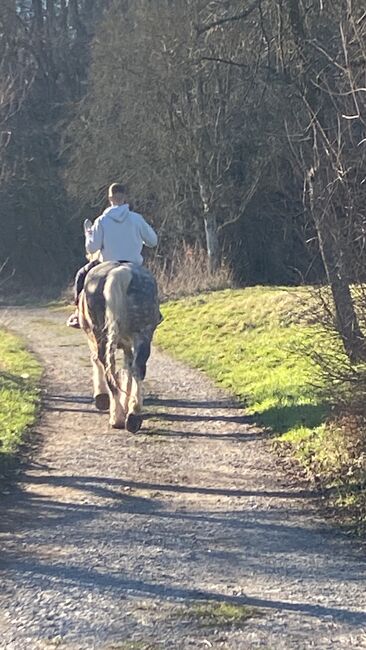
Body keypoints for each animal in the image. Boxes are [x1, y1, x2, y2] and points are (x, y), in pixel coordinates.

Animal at [78, 258, 160, 430]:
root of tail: (119, 273)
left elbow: (97, 363)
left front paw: (101, 397)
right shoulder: (129, 346)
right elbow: (127, 371)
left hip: (101, 336)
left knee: (109, 370)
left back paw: (117, 417)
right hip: (142, 335)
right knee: (136, 369)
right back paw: (133, 416)